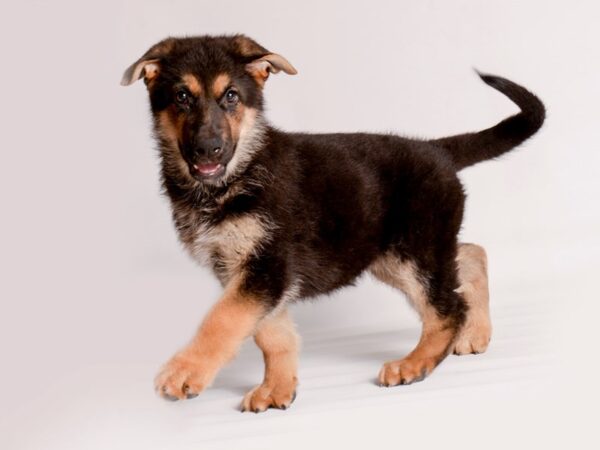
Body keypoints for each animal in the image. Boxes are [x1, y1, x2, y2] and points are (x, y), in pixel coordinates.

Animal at [120, 35, 544, 414]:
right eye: (181, 97)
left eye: (231, 97)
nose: (209, 150)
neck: (238, 176)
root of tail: (436, 149)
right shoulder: (245, 271)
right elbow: (270, 333)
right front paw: (278, 388)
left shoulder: (266, 266)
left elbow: (221, 320)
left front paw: (184, 372)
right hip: (392, 251)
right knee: (471, 255)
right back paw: (476, 333)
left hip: (414, 251)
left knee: (447, 306)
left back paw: (415, 363)